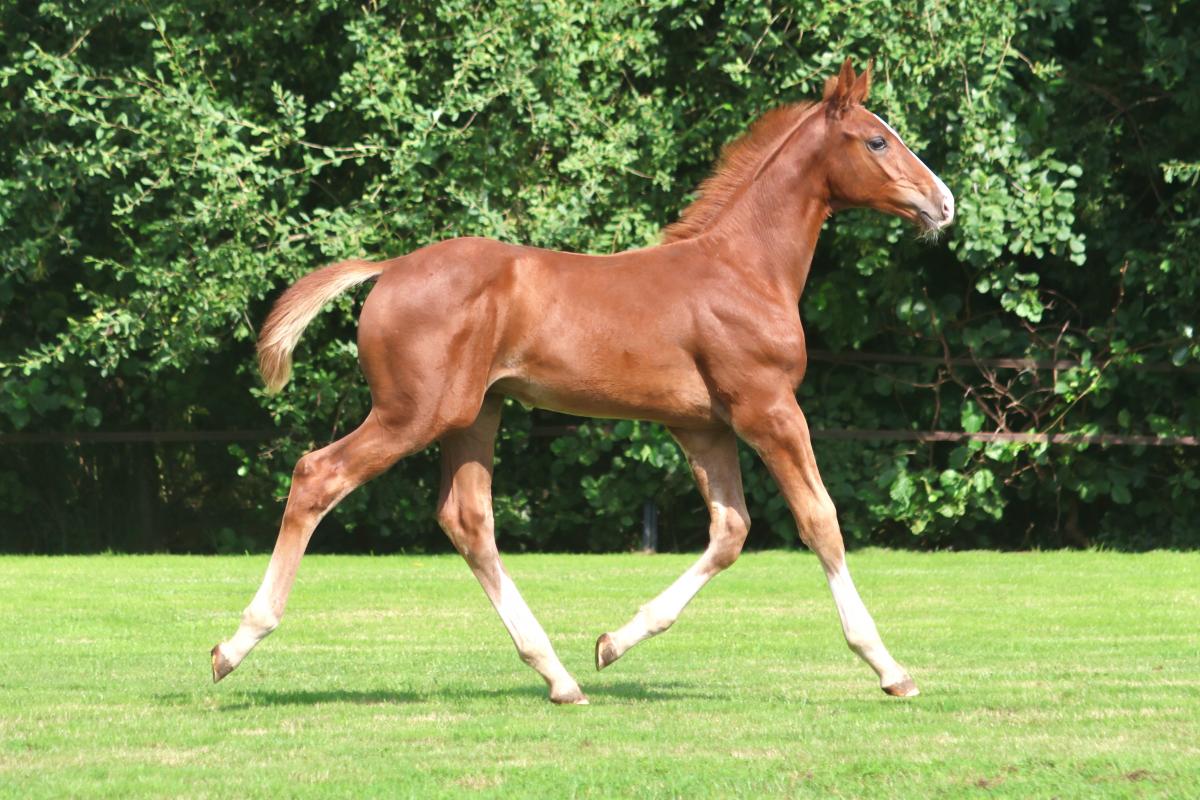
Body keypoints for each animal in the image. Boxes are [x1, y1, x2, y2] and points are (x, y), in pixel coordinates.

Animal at [211, 59, 954, 704]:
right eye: (877, 139)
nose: (943, 203)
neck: (743, 268)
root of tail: (388, 270)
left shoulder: (702, 426)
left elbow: (730, 532)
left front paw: (613, 643)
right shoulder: (766, 407)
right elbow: (820, 519)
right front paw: (889, 667)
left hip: (475, 414)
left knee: (468, 520)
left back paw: (559, 676)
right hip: (412, 413)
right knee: (318, 474)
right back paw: (235, 644)